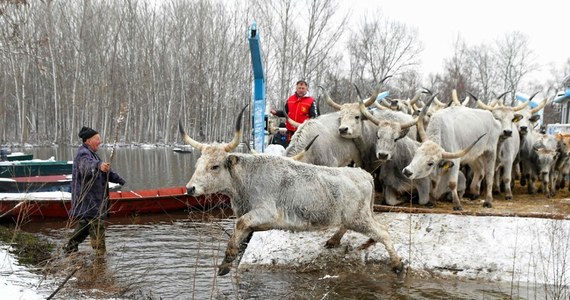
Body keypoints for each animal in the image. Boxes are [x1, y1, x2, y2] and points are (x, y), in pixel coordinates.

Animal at [178, 106, 404, 278]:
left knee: (383, 232)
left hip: (359, 218)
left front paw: (227, 258)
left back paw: (398, 264)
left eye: (215, 166)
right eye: (198, 164)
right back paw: (335, 241)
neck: (246, 178)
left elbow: (240, 224)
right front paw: (227, 262)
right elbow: (240, 230)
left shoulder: (266, 212)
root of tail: (363, 174)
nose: (190, 188)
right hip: (356, 217)